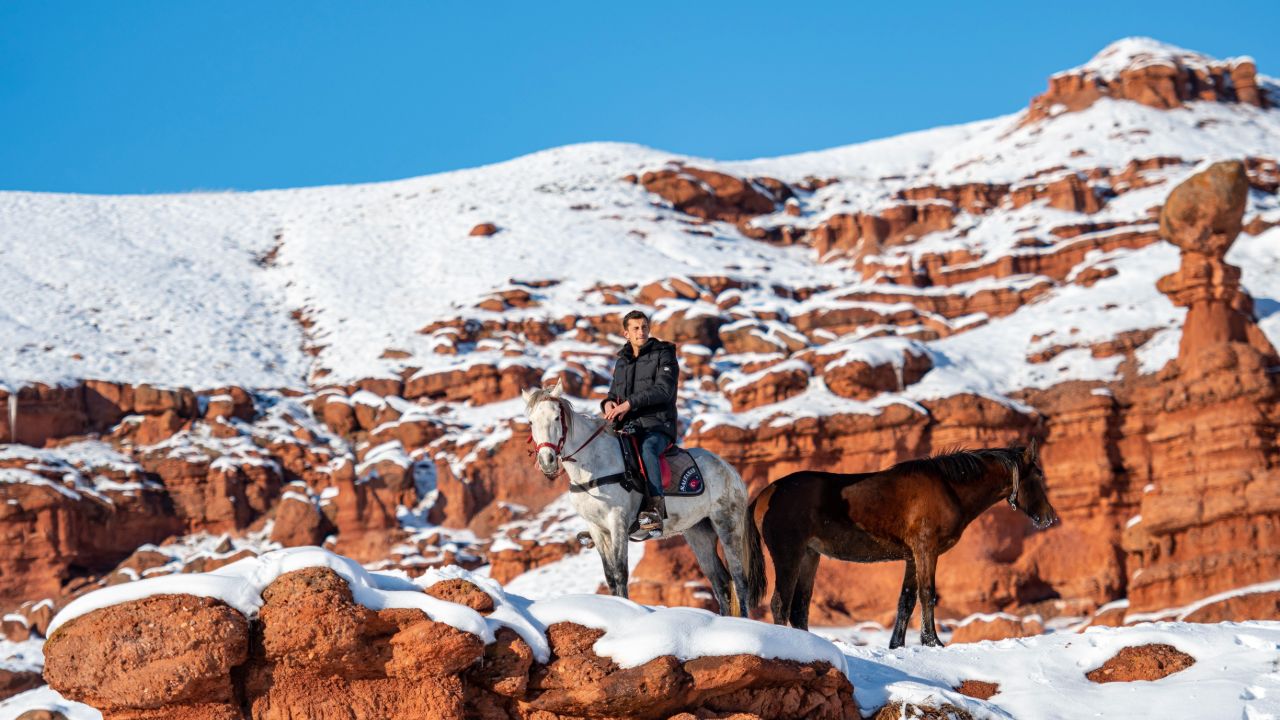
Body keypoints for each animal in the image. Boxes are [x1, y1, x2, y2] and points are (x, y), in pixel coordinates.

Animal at [524, 379, 752, 614]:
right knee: (720, 583)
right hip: (699, 532)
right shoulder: (596, 528)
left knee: (739, 580)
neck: (594, 464)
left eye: (556, 417)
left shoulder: (617, 521)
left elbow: (620, 572)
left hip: (727, 525)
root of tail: (730, 470)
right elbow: (610, 576)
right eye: (531, 422)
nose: (547, 461)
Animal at [742, 440, 1059, 648]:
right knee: (781, 603)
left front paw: (897, 644)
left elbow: (906, 600)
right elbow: (927, 594)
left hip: (810, 556)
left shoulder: (912, 556)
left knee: (799, 607)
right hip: (789, 554)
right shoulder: (926, 551)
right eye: (1038, 475)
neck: (949, 487)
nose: (1049, 517)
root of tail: (764, 494)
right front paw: (933, 641)